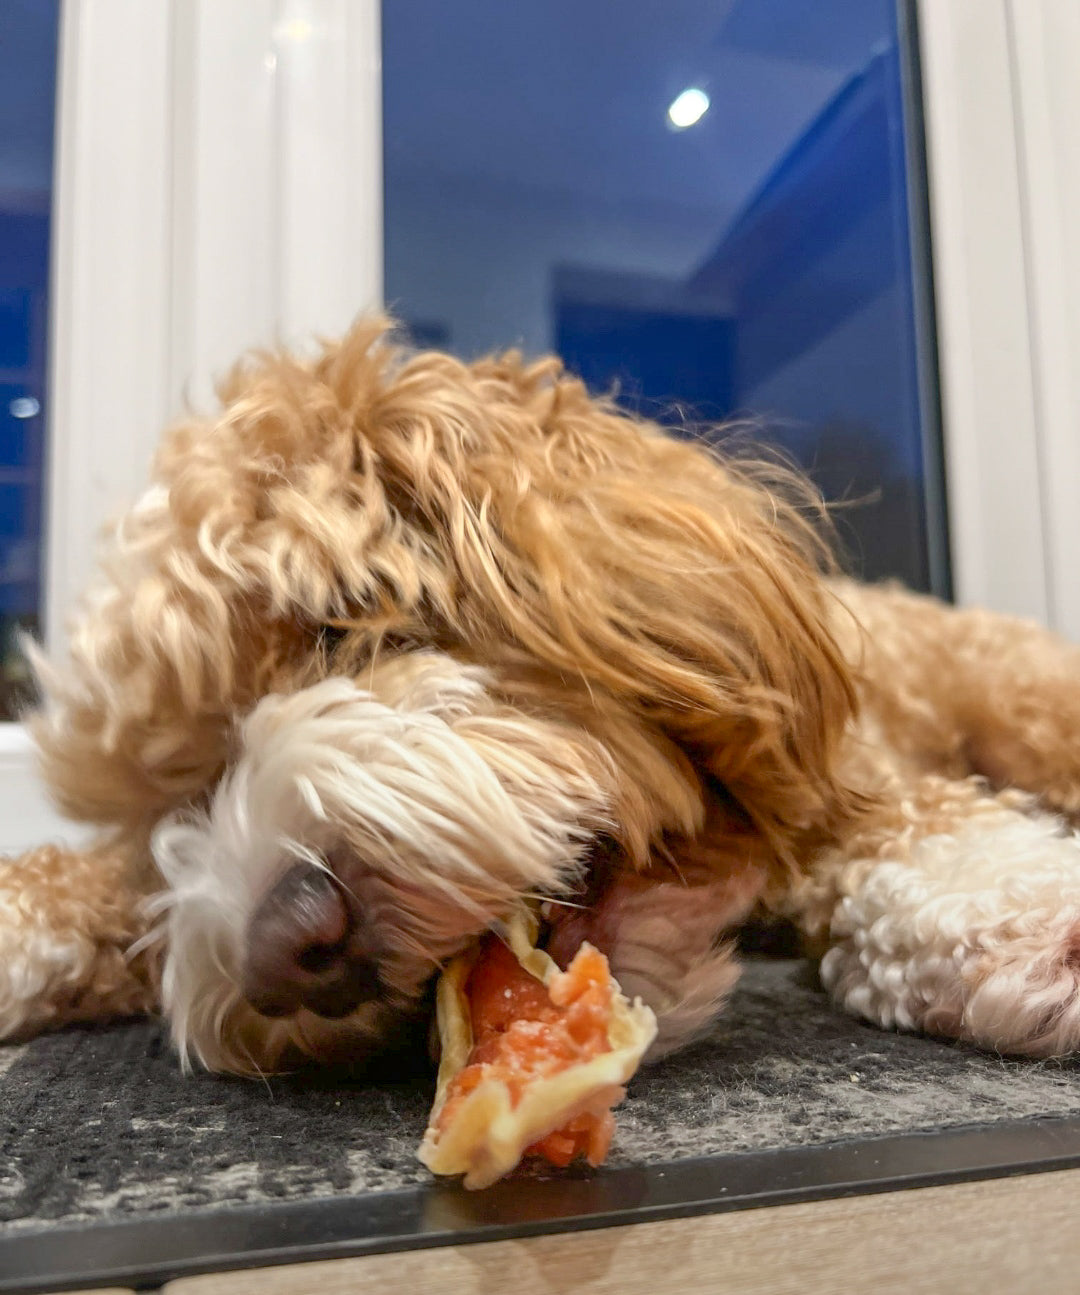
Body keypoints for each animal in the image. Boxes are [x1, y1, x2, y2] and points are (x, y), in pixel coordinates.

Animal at [2, 318, 1077, 1077]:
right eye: (169, 811)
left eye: (338, 622)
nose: (288, 946)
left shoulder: (846, 775)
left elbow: (918, 825)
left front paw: (1031, 920)